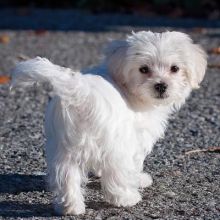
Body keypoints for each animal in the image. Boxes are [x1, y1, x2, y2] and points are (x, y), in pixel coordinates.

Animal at [11, 31, 207, 215]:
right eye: (143, 69)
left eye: (175, 68)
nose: (161, 85)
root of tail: (81, 94)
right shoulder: (135, 138)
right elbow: (135, 163)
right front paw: (139, 179)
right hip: (115, 145)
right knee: (116, 173)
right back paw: (127, 198)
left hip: (63, 148)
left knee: (66, 175)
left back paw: (70, 207)